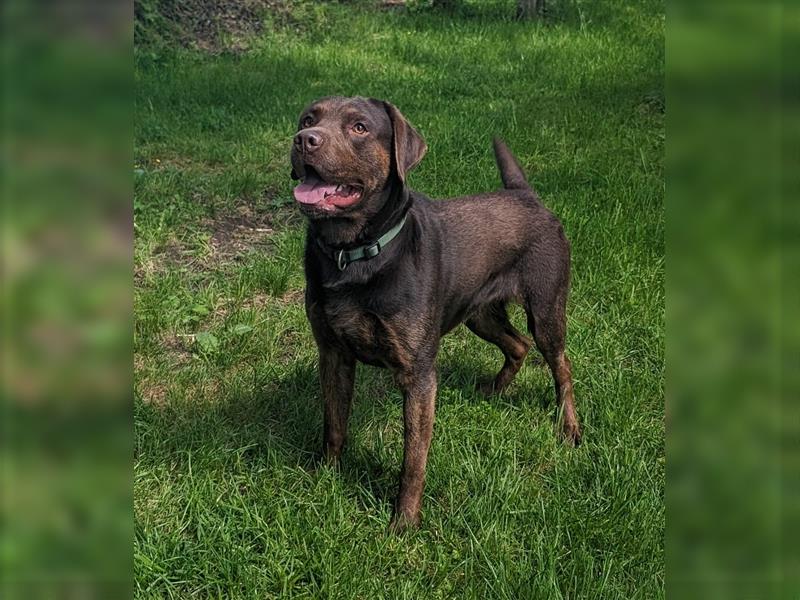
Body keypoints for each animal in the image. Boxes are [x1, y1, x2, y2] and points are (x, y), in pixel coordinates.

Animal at [290, 95, 580, 528]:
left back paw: (569, 427)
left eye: (359, 127)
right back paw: (492, 391)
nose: (304, 139)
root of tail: (525, 194)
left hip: (545, 309)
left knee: (560, 365)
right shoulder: (333, 353)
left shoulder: (418, 374)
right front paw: (326, 475)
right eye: (309, 119)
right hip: (479, 313)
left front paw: (404, 522)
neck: (355, 255)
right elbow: (334, 424)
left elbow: (413, 458)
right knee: (518, 345)